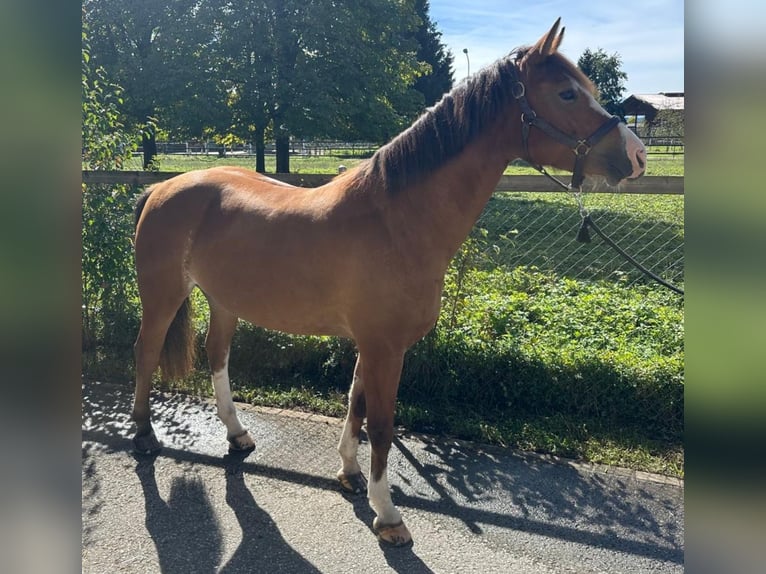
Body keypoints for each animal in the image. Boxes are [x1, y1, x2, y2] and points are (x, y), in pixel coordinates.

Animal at [132, 19, 648, 548]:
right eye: (567, 93)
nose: (637, 154)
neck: (395, 220)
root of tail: (162, 187)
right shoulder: (386, 347)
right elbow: (380, 424)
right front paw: (388, 516)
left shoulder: (372, 345)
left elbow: (356, 406)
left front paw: (350, 474)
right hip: (162, 297)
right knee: (146, 352)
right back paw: (145, 436)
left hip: (224, 301)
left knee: (217, 355)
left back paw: (236, 435)